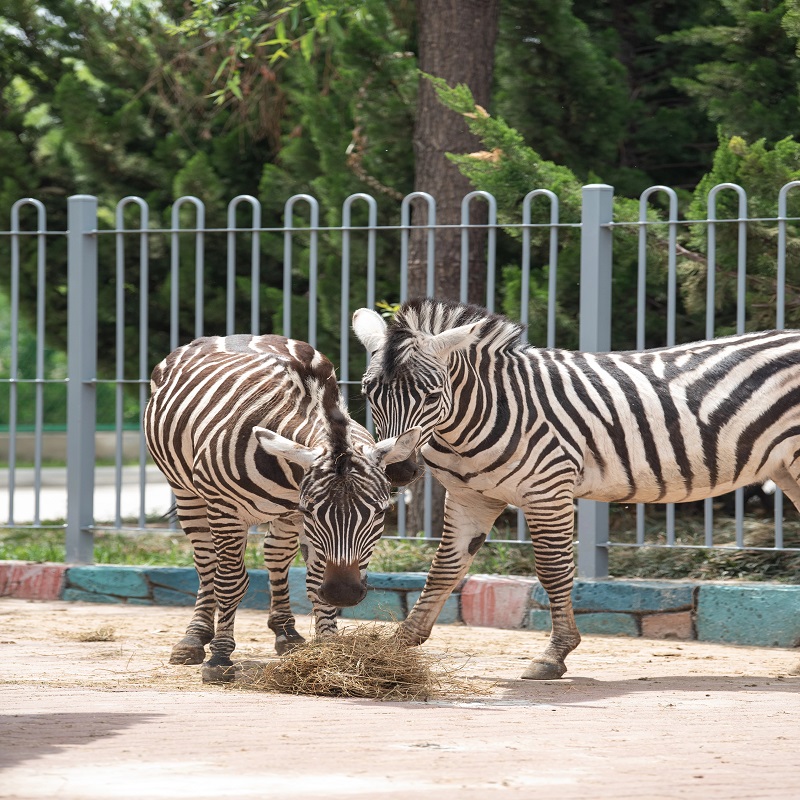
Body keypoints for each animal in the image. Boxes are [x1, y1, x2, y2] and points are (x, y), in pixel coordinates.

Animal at [145, 332, 422, 680]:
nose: (343, 593)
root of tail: (231, 335)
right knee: (206, 564)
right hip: (186, 493)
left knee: (276, 556)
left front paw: (328, 649)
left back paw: (286, 633)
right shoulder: (227, 509)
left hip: (282, 517)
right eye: (310, 510)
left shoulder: (297, 516)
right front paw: (220, 657)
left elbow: (314, 581)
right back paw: (194, 639)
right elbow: (230, 582)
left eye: (381, 512)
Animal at [352, 296, 800, 680]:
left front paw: (554, 656)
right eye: (368, 391)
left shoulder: (548, 489)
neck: (485, 409)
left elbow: (553, 571)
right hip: (786, 470)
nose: (398, 470)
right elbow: (444, 569)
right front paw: (396, 647)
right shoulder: (470, 498)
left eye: (432, 394)